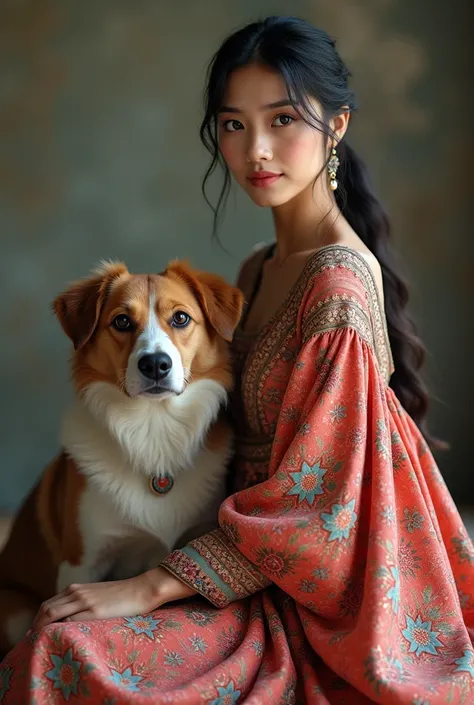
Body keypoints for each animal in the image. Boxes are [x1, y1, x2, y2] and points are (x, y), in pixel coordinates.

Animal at [0, 258, 244, 656]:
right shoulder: (82, 563)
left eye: (180, 318)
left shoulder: (196, 531)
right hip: (15, 612)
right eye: (122, 322)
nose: (155, 364)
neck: (153, 428)